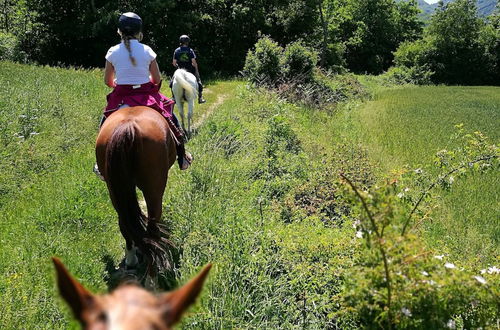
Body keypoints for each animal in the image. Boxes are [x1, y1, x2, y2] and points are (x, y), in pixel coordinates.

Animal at [95, 107, 178, 280]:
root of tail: (128, 127)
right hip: (153, 187)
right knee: (152, 226)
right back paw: (153, 276)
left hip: (115, 190)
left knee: (124, 221)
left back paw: (132, 258)